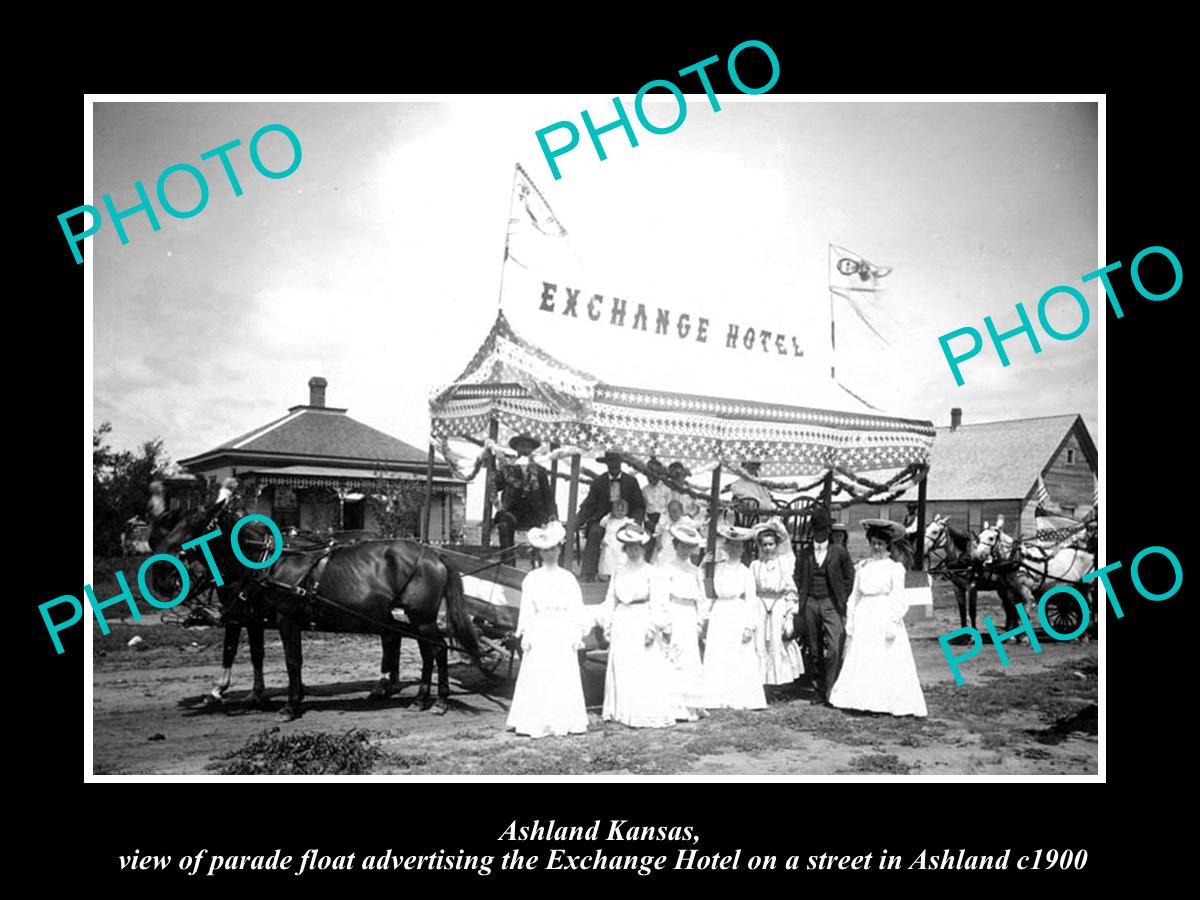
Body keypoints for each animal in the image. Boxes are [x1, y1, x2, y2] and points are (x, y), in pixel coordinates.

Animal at [151, 504, 482, 724]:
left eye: (192, 528)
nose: (161, 578)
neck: (267, 560)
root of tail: (434, 554)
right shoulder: (254, 617)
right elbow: (257, 655)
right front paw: (260, 697)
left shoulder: (283, 619)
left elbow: (290, 661)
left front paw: (289, 705)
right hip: (411, 617)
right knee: (423, 650)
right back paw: (419, 698)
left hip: (422, 617)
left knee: (438, 649)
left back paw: (439, 700)